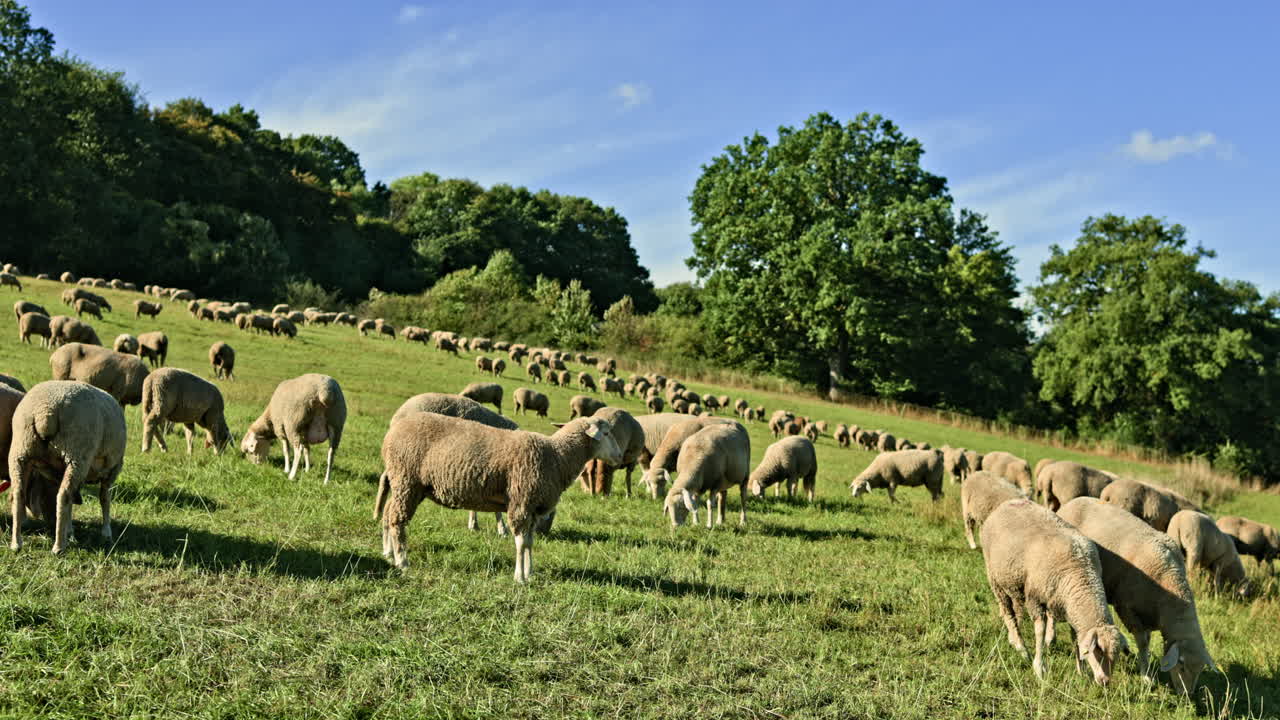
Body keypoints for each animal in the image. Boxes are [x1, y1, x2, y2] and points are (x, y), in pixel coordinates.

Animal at [8, 381, 126, 554]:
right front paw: (106, 532)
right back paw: (58, 547)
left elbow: (70, 502)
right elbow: (104, 498)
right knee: (63, 496)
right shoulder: (113, 469)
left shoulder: (58, 472)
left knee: (18, 493)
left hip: (20, 452)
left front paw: (69, 531)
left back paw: (16, 544)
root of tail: (45, 412)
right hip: (77, 455)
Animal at [374, 413, 623, 580]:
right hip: (406, 480)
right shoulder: (521, 503)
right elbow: (521, 542)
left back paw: (388, 554)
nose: (620, 456)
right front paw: (519, 577)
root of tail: (391, 433)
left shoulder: (532, 509)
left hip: (405, 484)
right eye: (607, 433)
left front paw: (530, 573)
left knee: (388, 513)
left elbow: (529, 542)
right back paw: (402, 561)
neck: (557, 457)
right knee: (397, 520)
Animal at [981, 499, 1128, 685]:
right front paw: (1039, 668)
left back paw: (1014, 639)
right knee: (1008, 612)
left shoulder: (1070, 608)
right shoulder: (1035, 598)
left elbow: (1076, 638)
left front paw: (1081, 671)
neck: (1079, 573)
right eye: (1098, 651)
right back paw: (1021, 647)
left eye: (1116, 655)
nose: (1105, 682)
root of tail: (1009, 502)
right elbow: (1040, 632)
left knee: (1015, 610)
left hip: (1014, 581)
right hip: (995, 579)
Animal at [1057, 497, 1215, 694]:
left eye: (1200, 670)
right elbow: (1143, 643)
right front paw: (1146, 677)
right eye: (1182, 665)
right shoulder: (1127, 609)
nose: (1186, 695)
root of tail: (1074, 501)